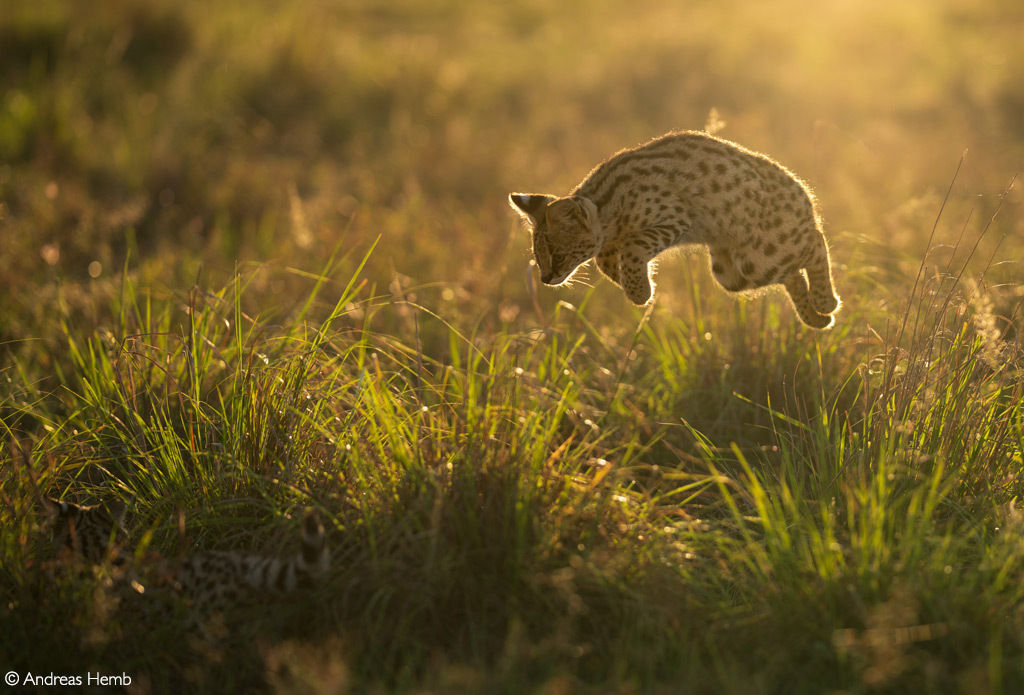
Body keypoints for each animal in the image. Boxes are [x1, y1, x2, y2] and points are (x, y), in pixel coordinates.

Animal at [509, 131, 839, 331]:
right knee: (793, 272)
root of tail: (802, 192)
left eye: (559, 256)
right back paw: (816, 316)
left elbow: (633, 246)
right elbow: (606, 261)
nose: (545, 278)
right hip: (734, 272)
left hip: (761, 252)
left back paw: (826, 302)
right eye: (538, 256)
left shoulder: (678, 219)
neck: (608, 210)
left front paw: (640, 292)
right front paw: (628, 283)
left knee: (815, 242)